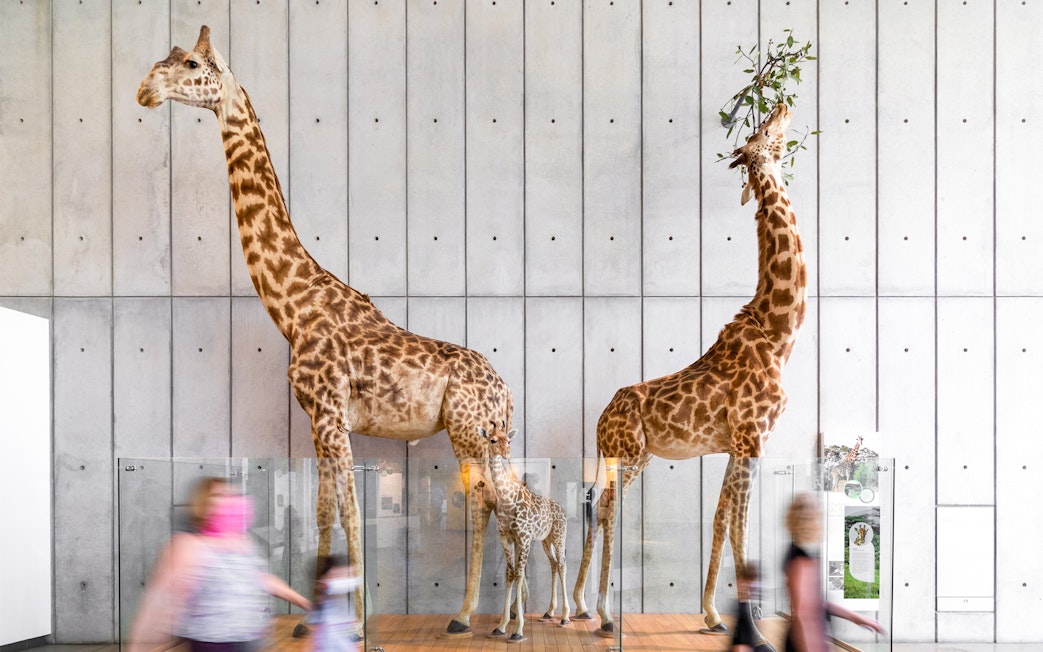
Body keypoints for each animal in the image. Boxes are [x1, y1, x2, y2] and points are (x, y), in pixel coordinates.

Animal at [136, 26, 513, 636]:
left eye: (190, 63)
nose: (145, 89)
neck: (294, 308)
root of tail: (505, 387)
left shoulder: (332, 415)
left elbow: (352, 511)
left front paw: (357, 624)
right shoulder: (317, 420)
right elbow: (321, 510)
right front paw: (309, 618)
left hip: (466, 429)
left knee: (485, 500)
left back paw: (473, 617)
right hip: (490, 433)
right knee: (500, 498)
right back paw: (481, 615)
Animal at [477, 427, 569, 643]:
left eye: (509, 440)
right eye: (492, 440)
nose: (505, 452)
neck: (507, 499)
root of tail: (563, 510)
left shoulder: (525, 539)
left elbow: (519, 574)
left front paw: (518, 629)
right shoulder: (507, 539)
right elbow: (509, 574)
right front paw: (501, 625)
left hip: (559, 536)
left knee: (562, 565)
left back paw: (565, 616)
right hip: (545, 541)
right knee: (554, 564)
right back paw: (549, 612)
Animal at [572, 104, 806, 645]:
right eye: (763, 132)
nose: (783, 106)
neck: (778, 332)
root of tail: (600, 420)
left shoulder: (736, 442)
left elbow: (720, 517)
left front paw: (715, 616)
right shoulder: (752, 436)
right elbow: (741, 524)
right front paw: (756, 632)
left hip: (632, 456)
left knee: (597, 501)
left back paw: (580, 606)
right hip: (630, 454)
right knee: (608, 507)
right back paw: (604, 614)